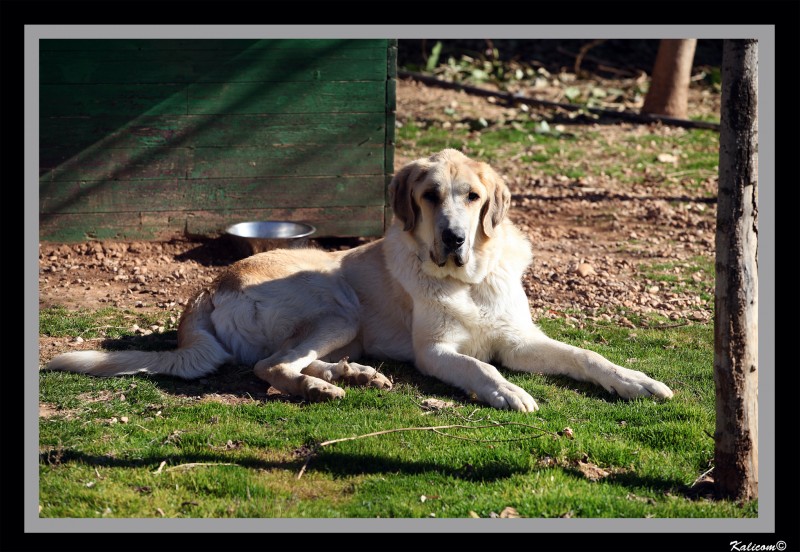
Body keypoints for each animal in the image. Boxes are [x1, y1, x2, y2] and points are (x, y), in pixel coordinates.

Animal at [48, 150, 676, 410]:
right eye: (430, 197)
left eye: (474, 198)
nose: (454, 237)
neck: (468, 280)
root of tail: (207, 287)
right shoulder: (436, 352)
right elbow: (481, 366)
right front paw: (508, 391)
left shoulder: (523, 340)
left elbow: (587, 357)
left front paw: (636, 382)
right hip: (338, 304)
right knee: (270, 366)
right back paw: (324, 387)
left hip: (341, 322)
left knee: (285, 361)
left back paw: (352, 373)